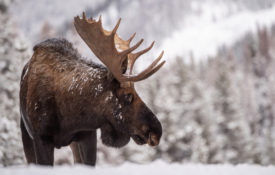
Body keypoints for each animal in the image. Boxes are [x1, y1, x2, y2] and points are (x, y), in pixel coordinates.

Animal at [20, 13, 166, 166]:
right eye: (128, 95)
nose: (157, 131)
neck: (69, 117)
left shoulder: (88, 135)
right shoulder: (41, 138)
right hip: (25, 133)